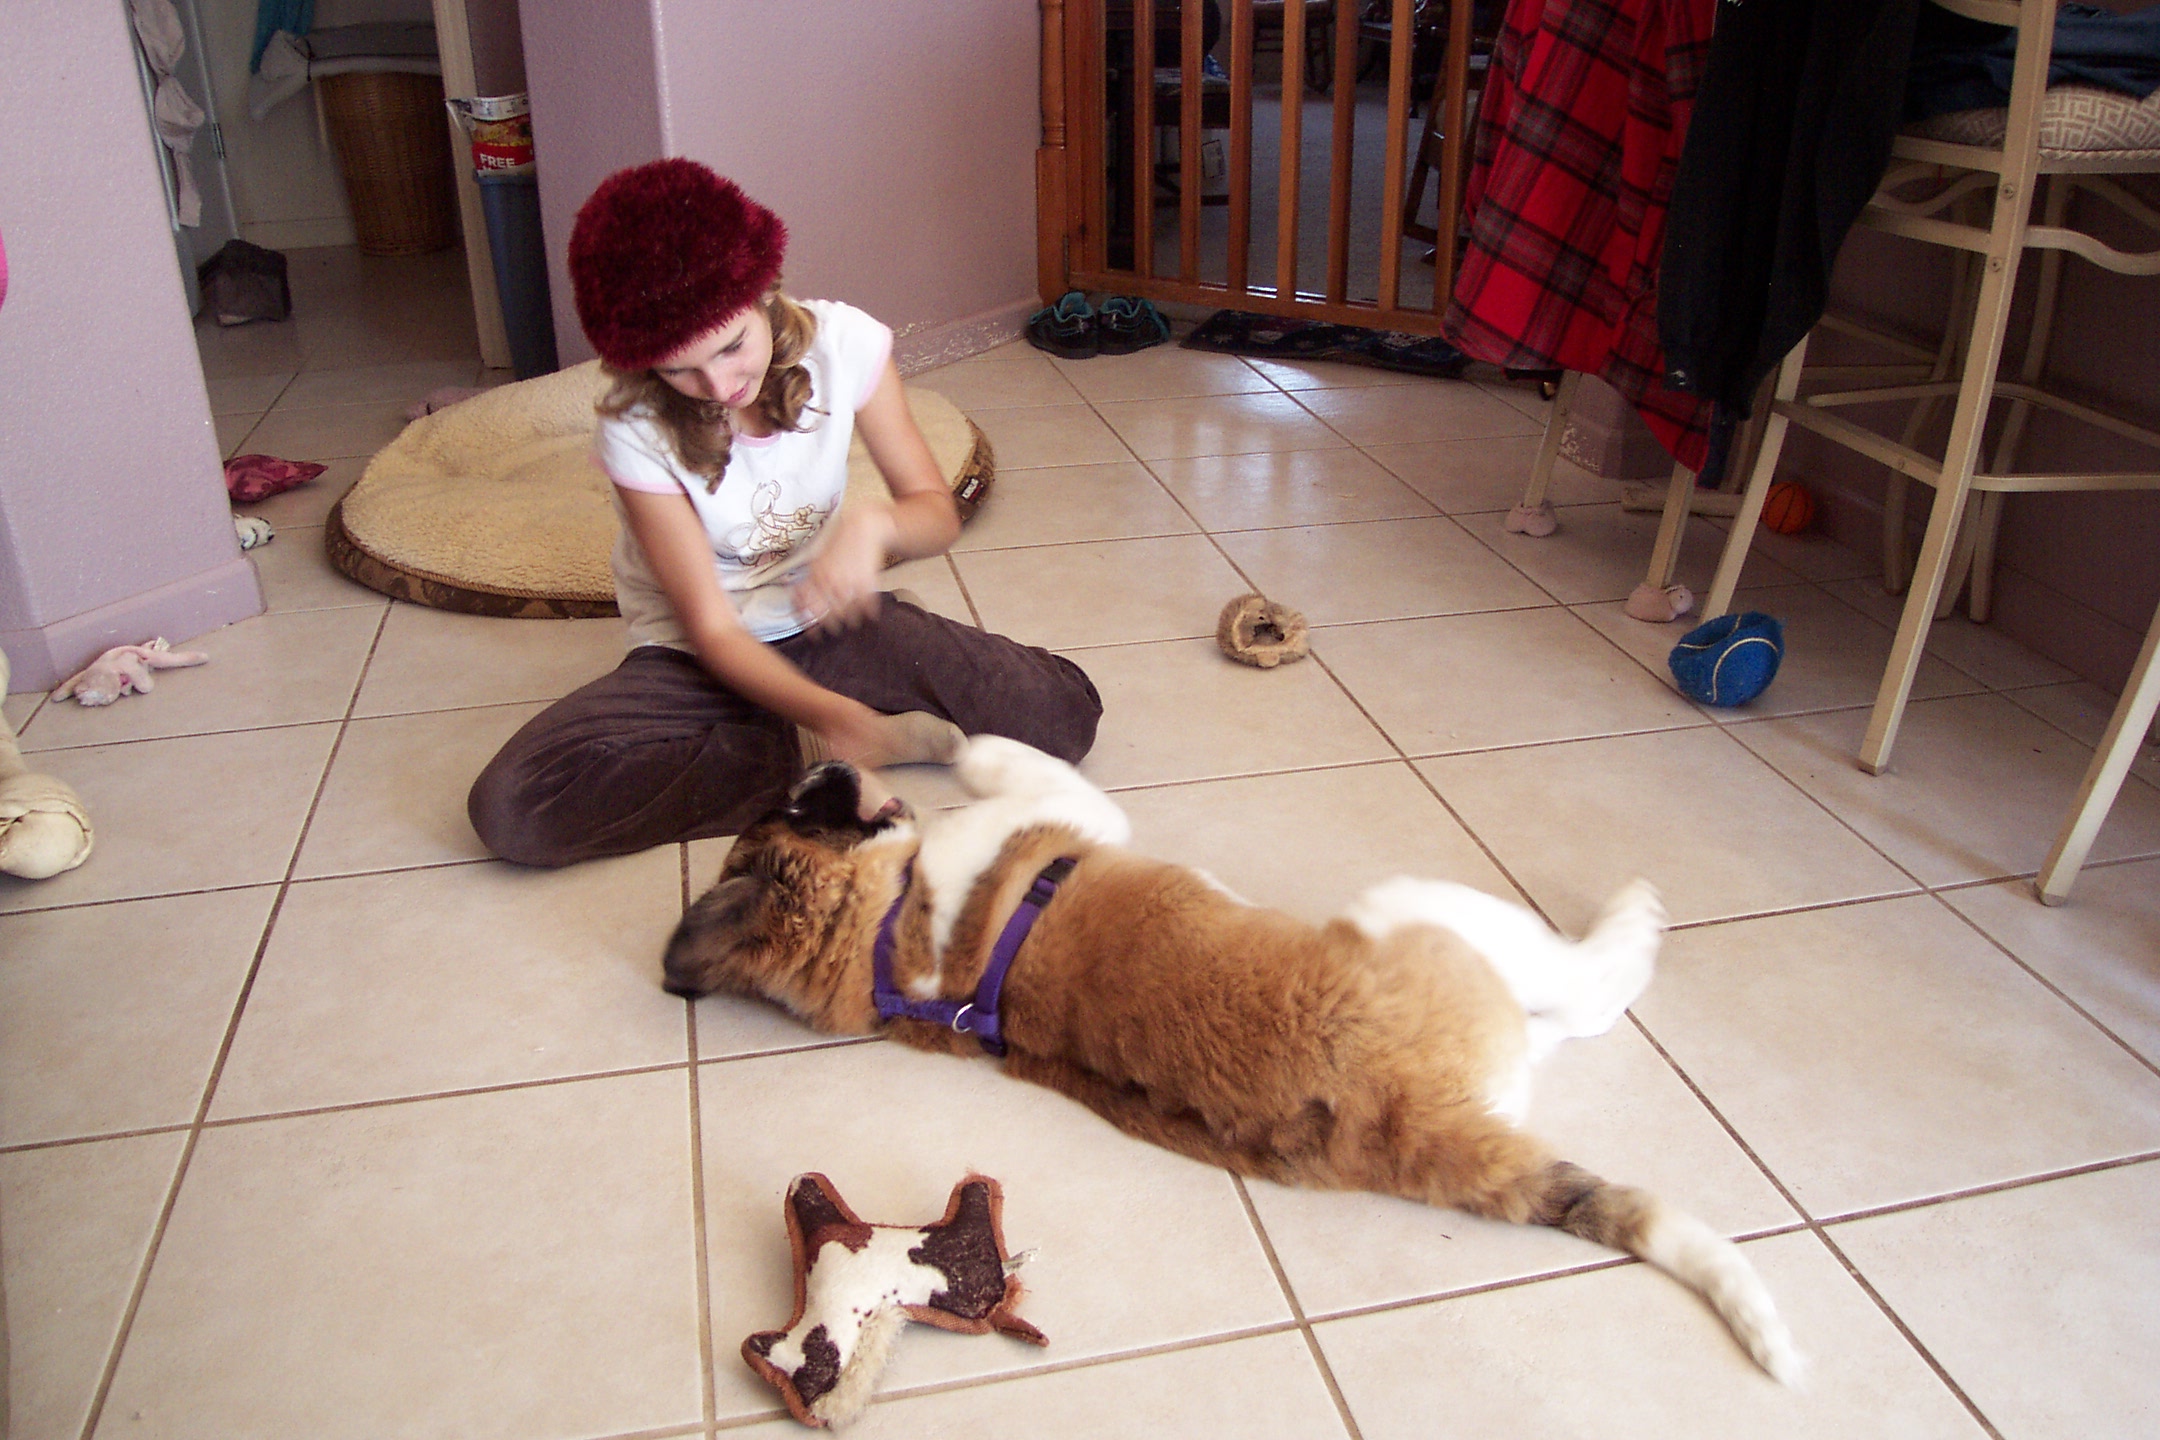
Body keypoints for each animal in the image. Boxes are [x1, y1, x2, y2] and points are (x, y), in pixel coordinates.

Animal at [664, 736, 1801, 1384]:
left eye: (793, 809)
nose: (818, 766)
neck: (884, 940)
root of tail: (1404, 1125)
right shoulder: (1069, 812)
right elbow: (1009, 757)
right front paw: (960, 738)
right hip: (1426, 916)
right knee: (1588, 990)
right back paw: (1631, 922)